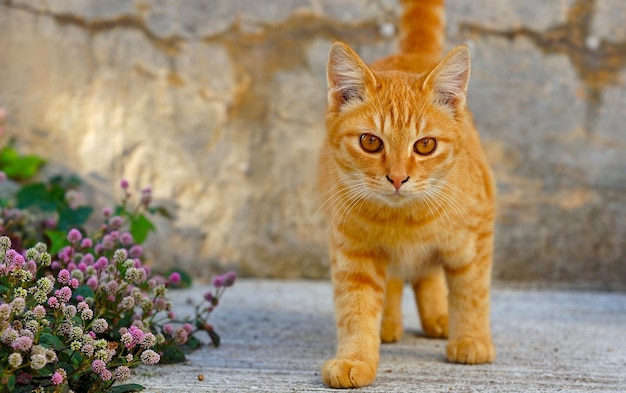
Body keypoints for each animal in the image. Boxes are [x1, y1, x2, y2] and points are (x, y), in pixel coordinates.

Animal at [320, 0, 494, 388]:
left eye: (425, 145)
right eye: (370, 142)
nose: (398, 178)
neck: (406, 220)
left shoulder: (476, 238)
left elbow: (471, 292)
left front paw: (471, 338)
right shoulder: (353, 252)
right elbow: (356, 309)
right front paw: (356, 357)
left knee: (428, 275)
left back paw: (439, 319)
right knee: (398, 281)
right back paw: (389, 324)